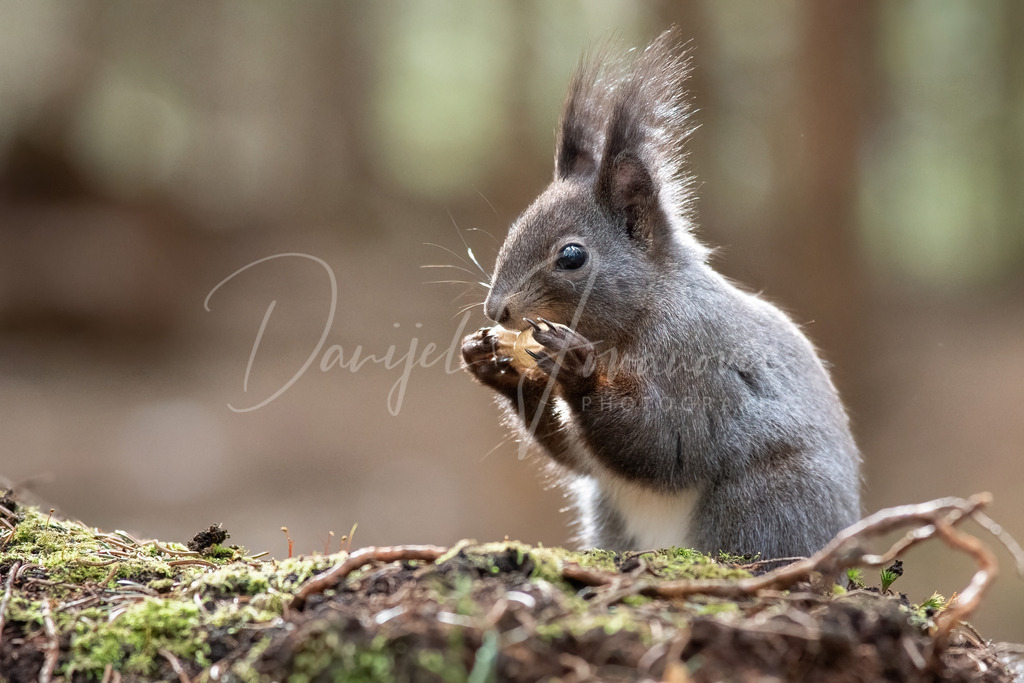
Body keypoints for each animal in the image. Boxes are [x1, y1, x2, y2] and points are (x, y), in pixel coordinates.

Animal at [461, 30, 861, 560]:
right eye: (515, 226)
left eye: (572, 256)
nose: (496, 309)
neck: (639, 314)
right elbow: (578, 456)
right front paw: (495, 365)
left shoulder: (698, 363)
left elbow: (664, 447)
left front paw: (576, 369)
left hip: (767, 498)